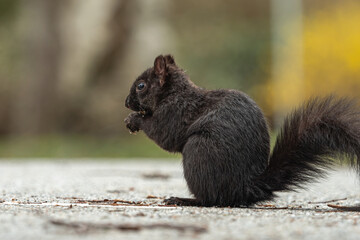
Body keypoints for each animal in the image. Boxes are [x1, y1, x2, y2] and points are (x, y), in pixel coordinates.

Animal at [124, 54, 360, 206]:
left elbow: (164, 135)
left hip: (199, 151)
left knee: (212, 200)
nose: (126, 102)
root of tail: (246, 187)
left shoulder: (175, 113)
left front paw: (135, 120)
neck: (174, 93)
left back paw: (184, 200)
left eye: (141, 86)